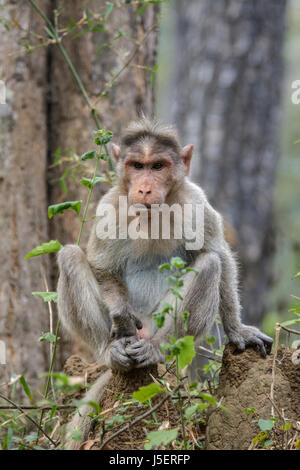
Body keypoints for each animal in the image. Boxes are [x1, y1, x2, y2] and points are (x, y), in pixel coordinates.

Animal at [56, 117, 274, 448]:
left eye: (157, 166)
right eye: (137, 165)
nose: (144, 188)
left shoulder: (195, 201)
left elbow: (219, 255)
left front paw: (238, 330)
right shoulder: (110, 205)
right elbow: (101, 267)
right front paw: (119, 312)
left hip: (160, 323)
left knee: (210, 264)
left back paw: (156, 351)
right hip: (131, 330)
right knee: (69, 256)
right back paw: (111, 353)